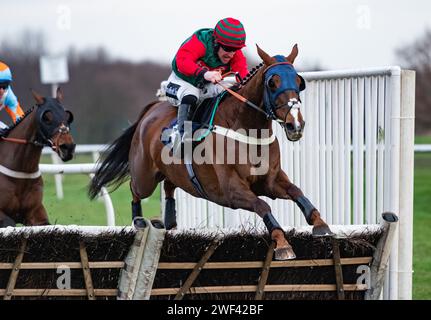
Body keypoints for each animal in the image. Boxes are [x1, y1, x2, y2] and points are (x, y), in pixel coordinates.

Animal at [88, 45, 334, 260]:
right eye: (272, 83)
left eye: (299, 82)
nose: (295, 125)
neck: (248, 130)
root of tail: (151, 110)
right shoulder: (231, 190)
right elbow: (262, 205)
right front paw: (282, 244)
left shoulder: (269, 180)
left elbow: (296, 191)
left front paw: (320, 223)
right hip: (145, 177)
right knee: (135, 188)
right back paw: (139, 220)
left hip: (172, 173)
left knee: (169, 185)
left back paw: (170, 221)